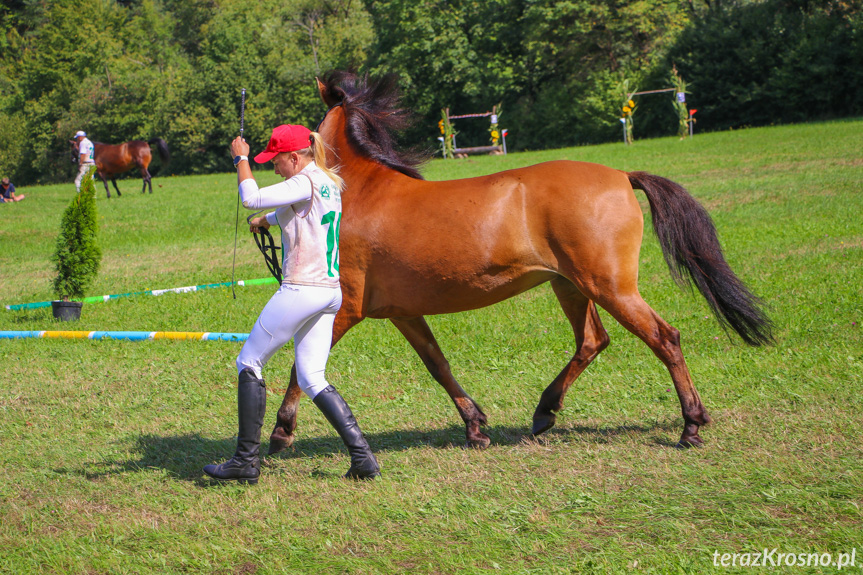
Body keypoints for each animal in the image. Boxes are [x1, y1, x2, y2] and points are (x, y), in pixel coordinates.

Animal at [264, 71, 776, 454]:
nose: (273, 168)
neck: (357, 194)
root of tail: (620, 175)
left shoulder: (345, 307)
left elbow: (301, 368)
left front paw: (281, 430)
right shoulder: (403, 312)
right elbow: (438, 364)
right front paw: (475, 425)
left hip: (610, 286)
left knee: (664, 338)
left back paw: (690, 425)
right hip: (571, 285)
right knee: (593, 340)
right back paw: (544, 413)